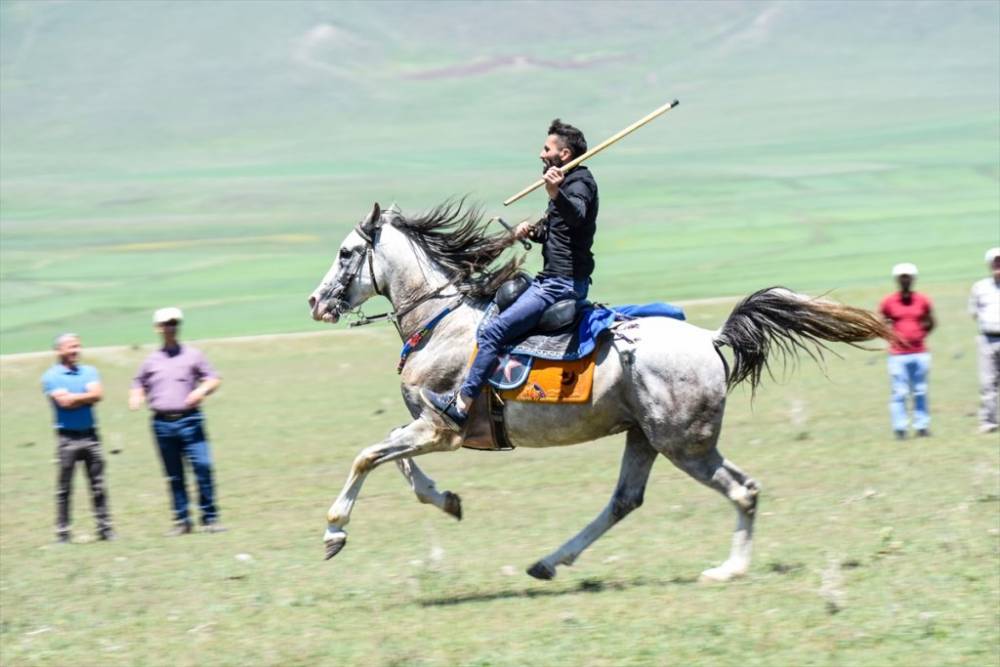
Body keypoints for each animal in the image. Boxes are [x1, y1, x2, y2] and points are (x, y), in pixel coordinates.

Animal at [306, 201, 892, 580]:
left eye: (345, 252)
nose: (315, 302)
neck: (441, 323)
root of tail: (711, 338)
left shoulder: (439, 428)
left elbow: (368, 455)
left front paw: (335, 531)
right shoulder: (426, 428)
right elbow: (395, 459)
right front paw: (446, 501)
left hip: (685, 445)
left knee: (742, 489)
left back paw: (728, 570)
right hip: (645, 437)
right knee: (625, 500)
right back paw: (549, 562)